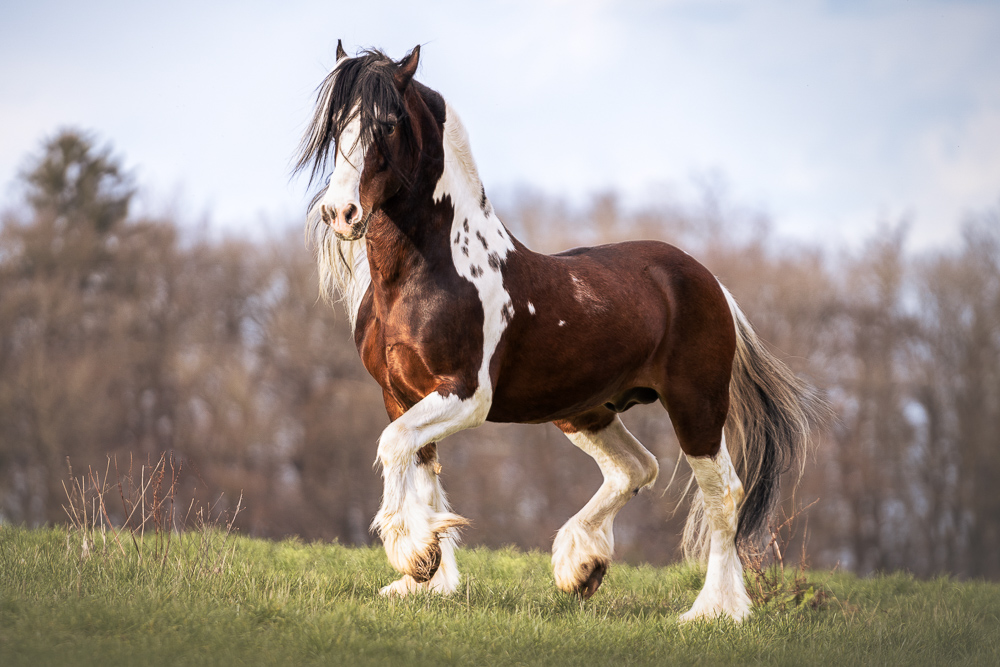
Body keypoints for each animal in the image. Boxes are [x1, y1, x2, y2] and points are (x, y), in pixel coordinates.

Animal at [294, 42, 826, 622]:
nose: (340, 212)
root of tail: (710, 282)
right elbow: (422, 474)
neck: (433, 270)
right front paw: (428, 577)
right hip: (585, 410)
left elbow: (392, 448)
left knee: (722, 494)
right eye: (334, 125)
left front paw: (413, 554)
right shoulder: (400, 395)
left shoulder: (465, 395)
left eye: (387, 124)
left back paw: (713, 611)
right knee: (636, 468)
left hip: (696, 404)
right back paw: (581, 564)